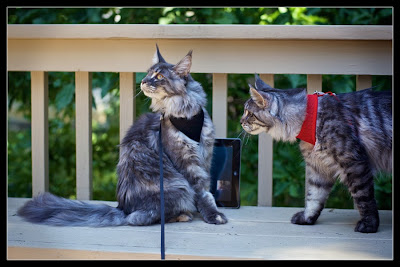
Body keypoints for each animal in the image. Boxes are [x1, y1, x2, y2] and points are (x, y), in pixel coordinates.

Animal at [17, 45, 227, 226]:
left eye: (159, 76)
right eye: (148, 73)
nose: (143, 81)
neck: (186, 111)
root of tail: (122, 208)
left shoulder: (205, 155)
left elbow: (207, 190)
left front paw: (211, 212)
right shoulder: (186, 162)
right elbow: (202, 192)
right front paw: (213, 215)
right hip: (178, 186)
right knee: (141, 218)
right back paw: (182, 215)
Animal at [241, 74, 390, 233]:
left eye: (249, 113)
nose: (241, 121)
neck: (310, 119)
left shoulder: (354, 163)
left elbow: (364, 197)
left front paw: (369, 224)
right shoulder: (318, 167)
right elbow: (314, 196)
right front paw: (307, 217)